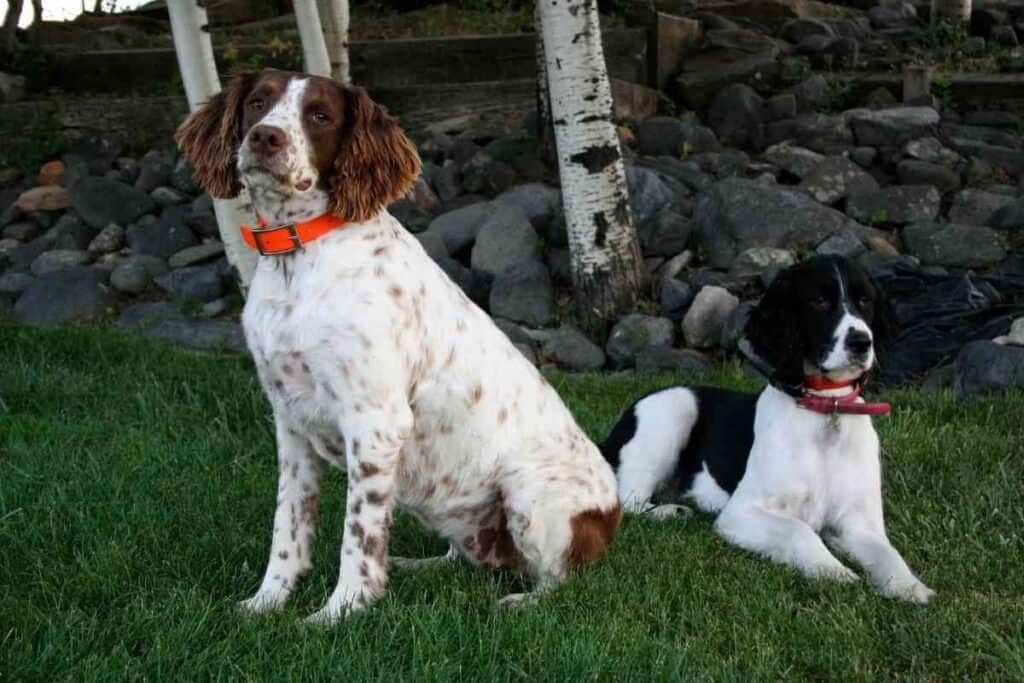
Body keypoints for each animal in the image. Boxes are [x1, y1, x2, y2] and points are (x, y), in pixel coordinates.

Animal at [175, 70, 618, 626]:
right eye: (258, 102)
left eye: (320, 115)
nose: (264, 138)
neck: (297, 259)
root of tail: (615, 513)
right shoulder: (290, 422)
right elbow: (289, 526)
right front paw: (266, 602)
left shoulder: (374, 423)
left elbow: (358, 535)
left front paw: (340, 611)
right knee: (465, 558)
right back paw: (416, 566)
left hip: (529, 491)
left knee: (561, 580)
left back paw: (520, 601)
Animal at [598, 254, 937, 602]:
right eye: (819, 301)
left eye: (865, 300)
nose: (862, 342)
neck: (827, 409)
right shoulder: (740, 512)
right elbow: (800, 530)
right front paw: (832, 571)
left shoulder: (859, 523)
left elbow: (888, 553)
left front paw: (909, 586)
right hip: (673, 408)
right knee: (626, 501)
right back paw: (668, 512)